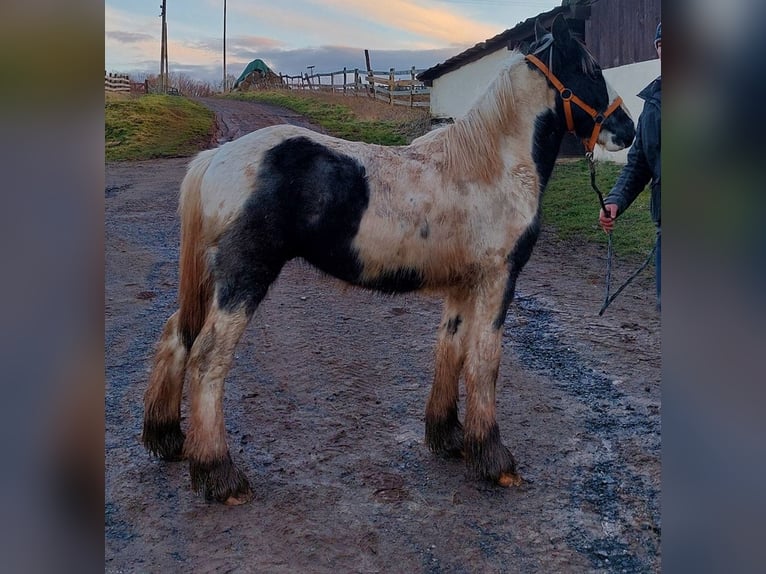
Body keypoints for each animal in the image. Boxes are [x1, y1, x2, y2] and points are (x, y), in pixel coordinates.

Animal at [142, 15, 636, 506]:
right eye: (591, 71)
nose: (628, 130)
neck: (492, 166)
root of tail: (214, 158)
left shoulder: (463, 284)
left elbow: (451, 350)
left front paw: (448, 437)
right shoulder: (497, 279)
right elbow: (484, 361)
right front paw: (494, 460)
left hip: (212, 279)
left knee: (176, 337)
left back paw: (168, 438)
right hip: (244, 277)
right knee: (207, 358)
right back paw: (219, 475)